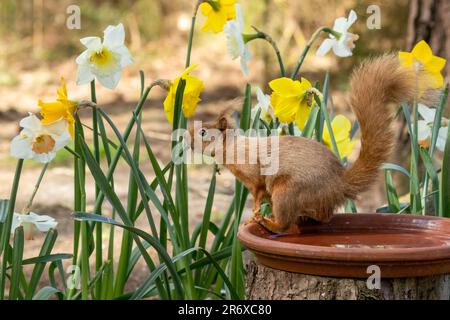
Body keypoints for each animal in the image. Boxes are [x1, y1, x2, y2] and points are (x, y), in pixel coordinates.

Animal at [188, 53, 420, 231]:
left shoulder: (255, 174)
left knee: (286, 226)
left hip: (286, 191)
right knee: (322, 217)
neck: (232, 148)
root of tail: (338, 185)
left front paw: (252, 215)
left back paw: (268, 223)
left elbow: (258, 192)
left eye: (202, 132)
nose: (187, 139)